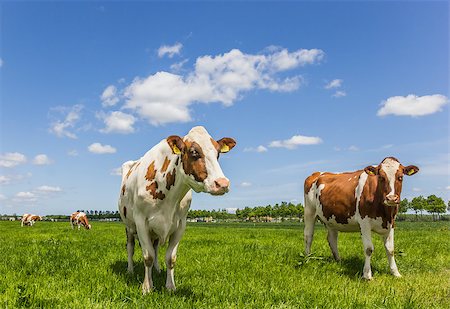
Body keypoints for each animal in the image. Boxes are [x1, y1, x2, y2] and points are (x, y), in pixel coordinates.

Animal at [118, 124, 237, 292]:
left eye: (218, 153)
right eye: (194, 152)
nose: (222, 183)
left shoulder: (180, 224)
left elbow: (170, 258)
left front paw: (170, 286)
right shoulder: (141, 221)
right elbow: (147, 256)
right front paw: (147, 287)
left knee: (155, 248)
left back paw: (157, 269)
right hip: (128, 226)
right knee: (130, 247)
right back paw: (130, 270)